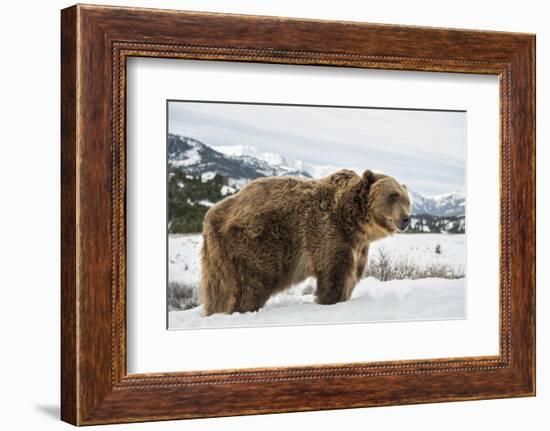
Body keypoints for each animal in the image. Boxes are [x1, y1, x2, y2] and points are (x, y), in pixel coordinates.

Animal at [201, 170, 412, 316]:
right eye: (393, 195)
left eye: (407, 200)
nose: (406, 218)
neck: (353, 221)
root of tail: (212, 215)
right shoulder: (328, 233)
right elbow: (335, 274)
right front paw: (330, 300)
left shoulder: (358, 246)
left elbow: (351, 275)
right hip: (253, 244)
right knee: (251, 284)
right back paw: (244, 308)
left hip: (218, 257)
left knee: (218, 290)